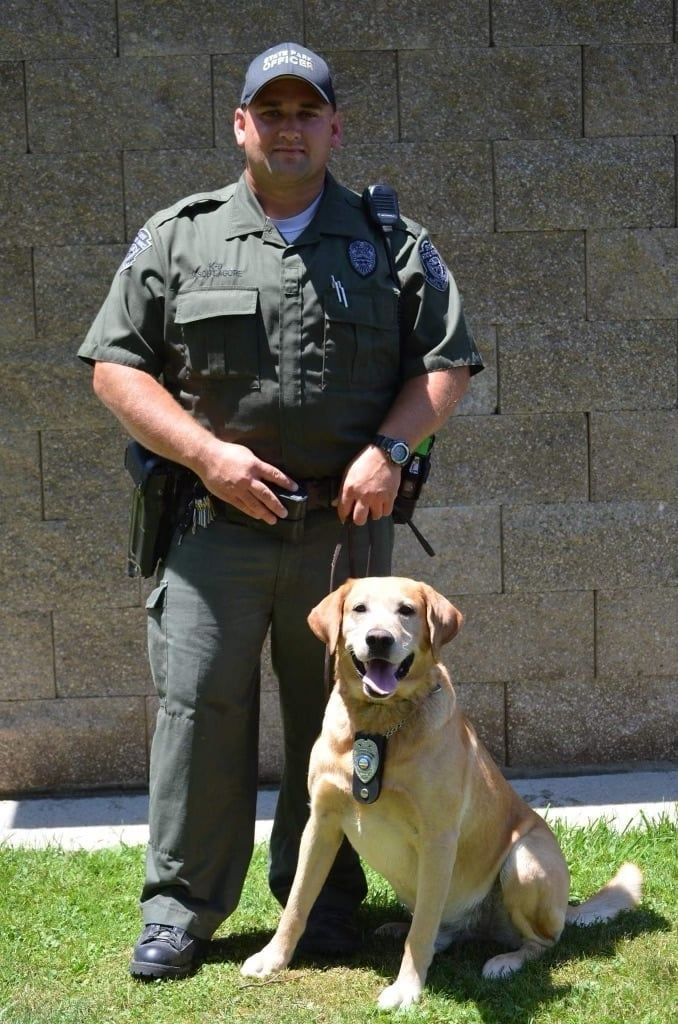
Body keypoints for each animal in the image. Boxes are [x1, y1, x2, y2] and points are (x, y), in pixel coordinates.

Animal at [242, 577, 643, 1007]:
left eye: (407, 611)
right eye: (359, 608)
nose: (379, 639)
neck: (379, 724)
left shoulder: (437, 838)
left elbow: (422, 932)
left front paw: (406, 988)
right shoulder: (322, 822)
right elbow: (298, 901)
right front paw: (273, 958)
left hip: (523, 860)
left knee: (541, 941)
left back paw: (506, 961)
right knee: (441, 929)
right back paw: (403, 929)